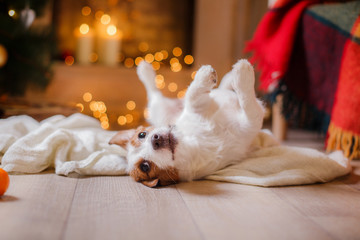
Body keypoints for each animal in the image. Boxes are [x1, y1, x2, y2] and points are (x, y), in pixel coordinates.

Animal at [109, 59, 264, 187]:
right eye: (145, 166)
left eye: (141, 134)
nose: (155, 140)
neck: (192, 139)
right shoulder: (250, 123)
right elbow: (247, 102)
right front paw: (243, 73)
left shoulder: (196, 109)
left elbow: (193, 96)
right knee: (154, 95)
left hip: (161, 110)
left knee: (154, 93)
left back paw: (145, 69)